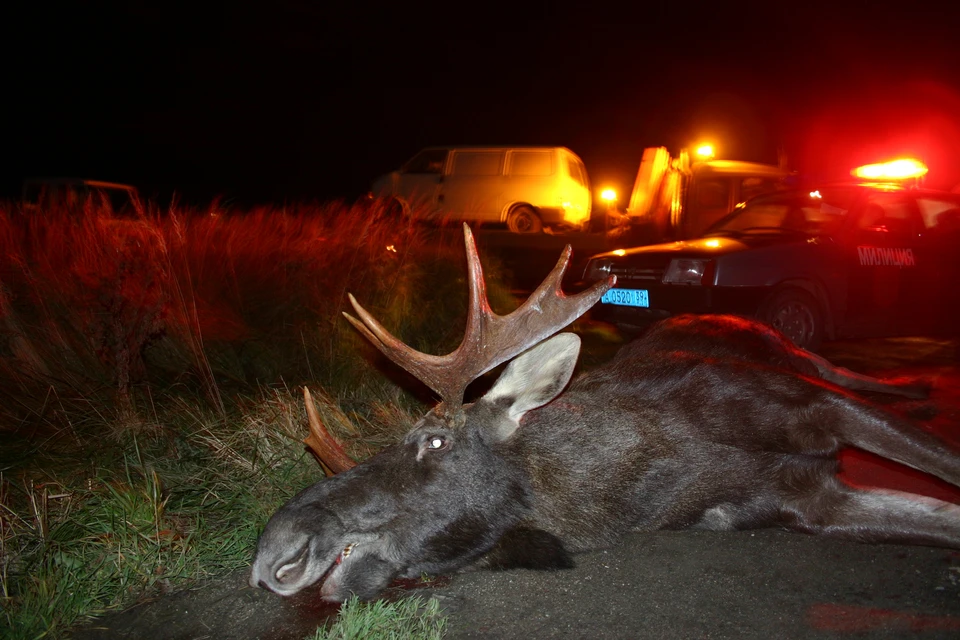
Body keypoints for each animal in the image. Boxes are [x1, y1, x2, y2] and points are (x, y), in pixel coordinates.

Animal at [251, 222, 960, 604]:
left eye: (433, 441)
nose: (273, 553)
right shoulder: (805, 502)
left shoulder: (806, 404)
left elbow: (941, 461)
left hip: (795, 358)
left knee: (848, 369)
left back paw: (922, 383)